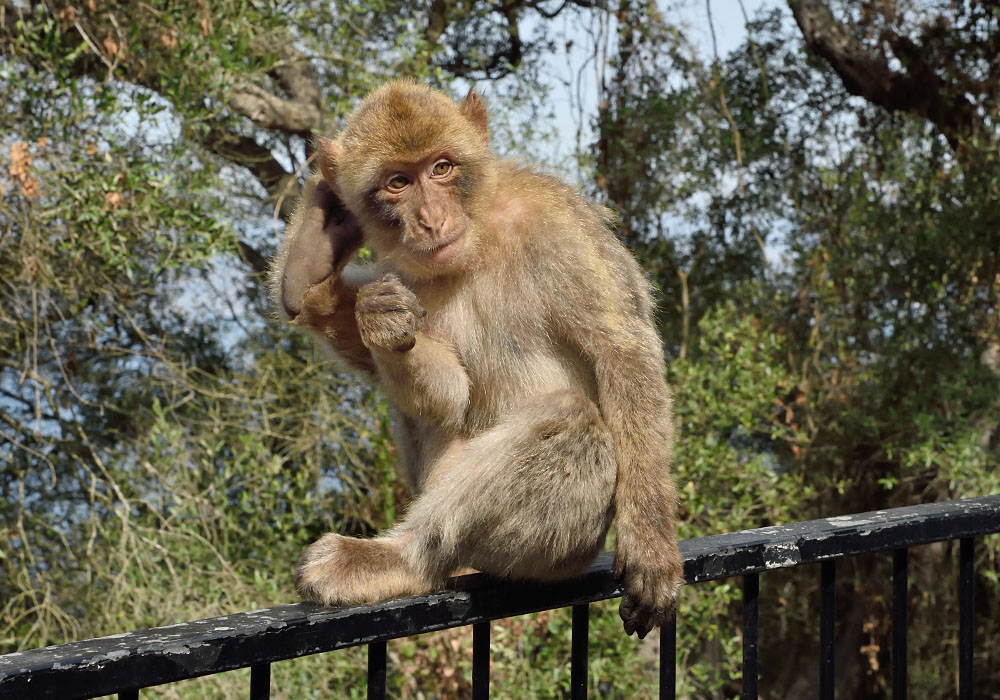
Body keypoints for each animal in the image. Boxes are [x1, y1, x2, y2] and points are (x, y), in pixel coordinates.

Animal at [269, 80, 683, 638]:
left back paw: (409, 560)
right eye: (398, 182)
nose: (431, 219)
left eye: (442, 168)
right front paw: (382, 321)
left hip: (565, 546)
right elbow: (452, 393)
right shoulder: (407, 273)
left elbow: (622, 350)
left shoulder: (561, 225)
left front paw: (651, 547)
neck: (480, 232)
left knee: (571, 420)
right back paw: (309, 278)